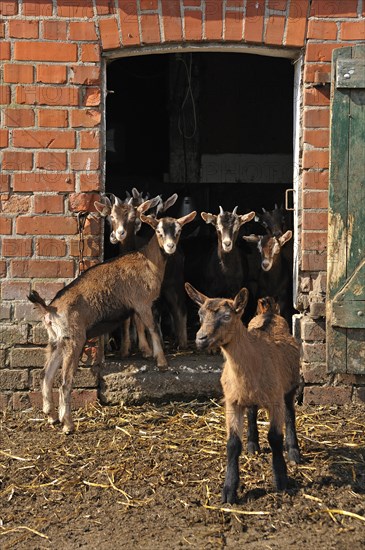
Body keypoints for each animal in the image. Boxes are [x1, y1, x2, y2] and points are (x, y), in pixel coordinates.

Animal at [28, 203, 196, 436]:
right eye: (159, 231)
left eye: (178, 231)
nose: (171, 247)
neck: (148, 261)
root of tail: (50, 308)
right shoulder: (142, 302)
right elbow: (152, 327)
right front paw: (161, 361)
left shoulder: (135, 305)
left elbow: (138, 324)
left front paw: (144, 352)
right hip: (74, 339)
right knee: (64, 382)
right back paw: (68, 424)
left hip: (57, 340)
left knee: (46, 375)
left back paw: (51, 417)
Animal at [185, 286, 298, 506]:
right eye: (200, 314)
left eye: (227, 316)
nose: (201, 339)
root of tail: (269, 313)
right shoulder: (232, 401)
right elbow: (232, 444)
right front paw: (229, 490)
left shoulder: (275, 399)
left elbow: (275, 438)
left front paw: (281, 480)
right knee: (252, 411)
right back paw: (253, 444)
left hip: (291, 385)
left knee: (290, 413)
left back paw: (294, 451)